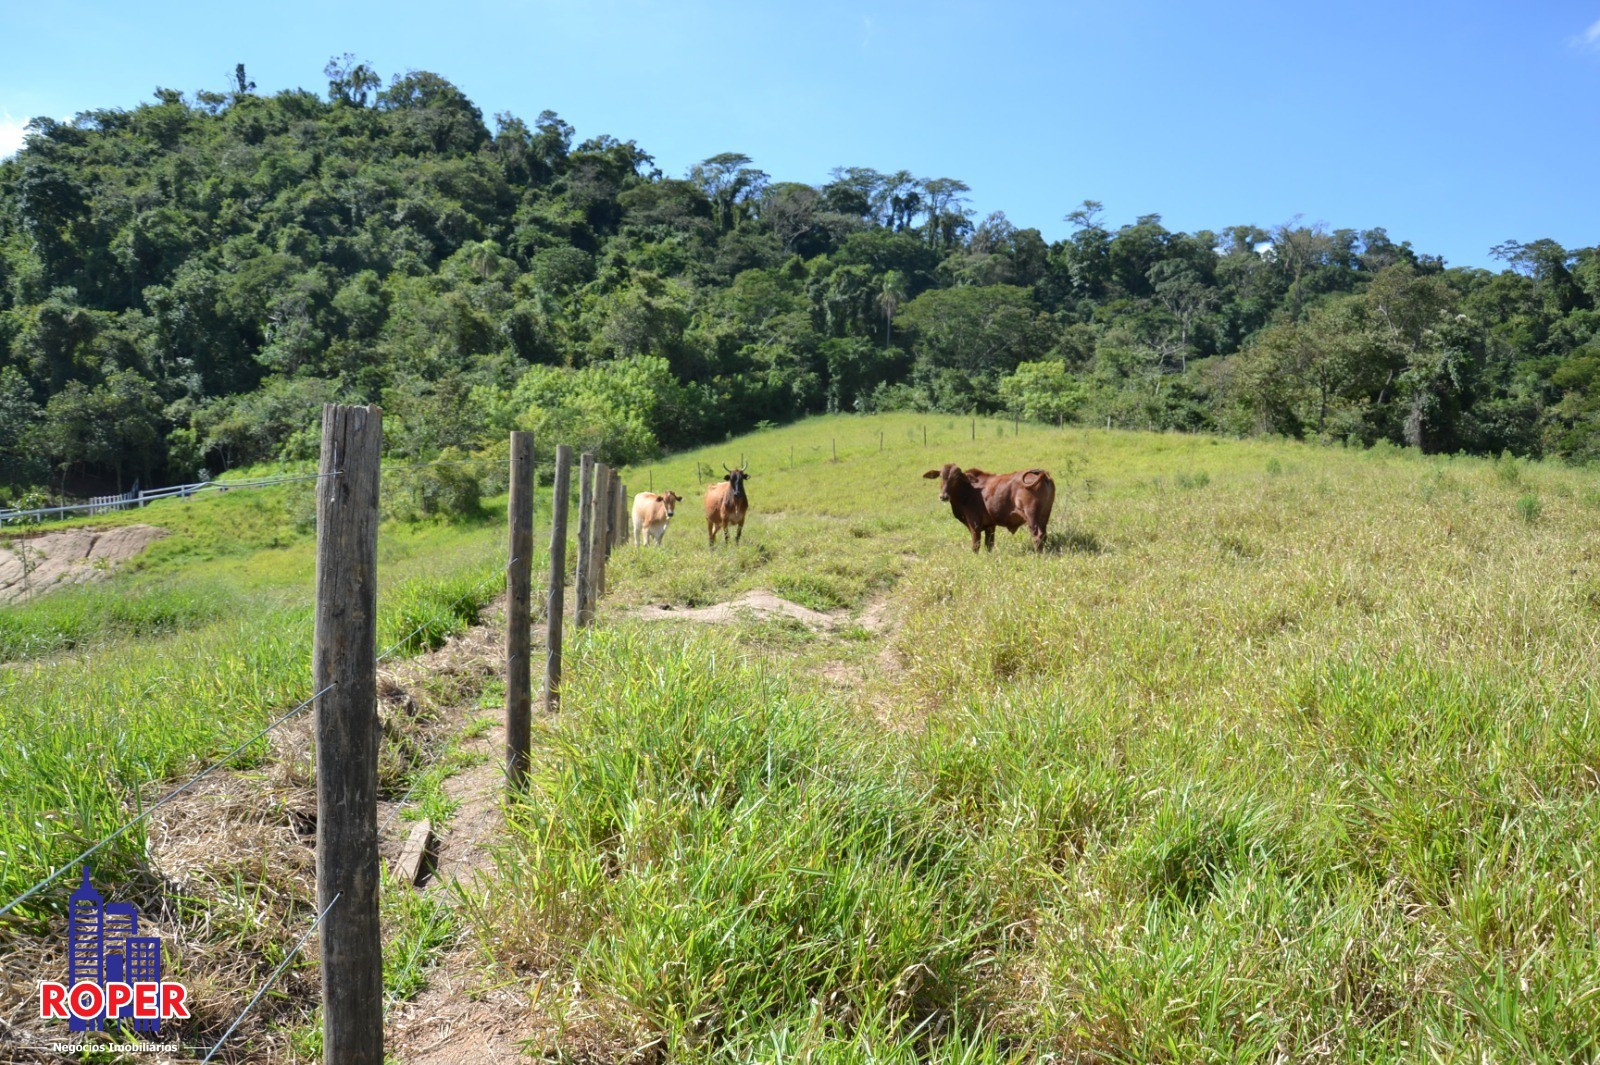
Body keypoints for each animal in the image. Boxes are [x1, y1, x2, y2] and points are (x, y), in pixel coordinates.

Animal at [921, 460, 1056, 550]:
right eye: (941, 476)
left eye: (956, 477)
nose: (943, 496)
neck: (969, 490)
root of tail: (1042, 473)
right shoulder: (990, 526)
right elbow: (989, 545)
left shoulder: (974, 525)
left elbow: (976, 546)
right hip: (1045, 515)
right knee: (1044, 535)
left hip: (1031, 516)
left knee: (1037, 536)